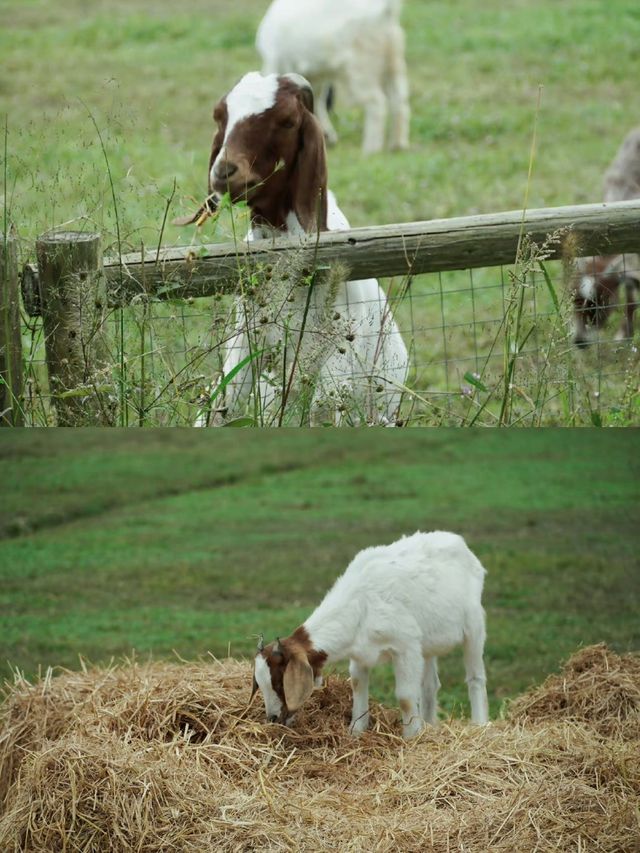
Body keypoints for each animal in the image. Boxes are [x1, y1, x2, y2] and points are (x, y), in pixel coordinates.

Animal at [251, 528, 490, 736]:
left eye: (280, 682)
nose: (272, 718)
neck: (362, 602)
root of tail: (457, 541)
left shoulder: (406, 646)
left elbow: (405, 696)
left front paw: (411, 736)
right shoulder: (360, 652)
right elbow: (358, 686)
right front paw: (356, 731)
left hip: (474, 625)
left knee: (475, 677)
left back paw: (479, 725)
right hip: (428, 643)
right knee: (430, 685)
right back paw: (430, 724)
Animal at [255, 0, 410, 153]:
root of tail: (385, 12)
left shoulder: (274, 63)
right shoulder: (316, 77)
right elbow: (316, 102)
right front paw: (326, 137)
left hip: (361, 67)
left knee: (376, 102)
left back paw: (371, 149)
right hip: (391, 61)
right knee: (399, 100)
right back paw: (397, 144)